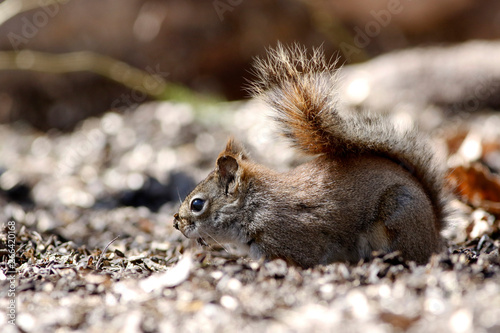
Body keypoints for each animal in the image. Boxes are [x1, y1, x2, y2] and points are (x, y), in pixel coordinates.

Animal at [173, 43, 450, 268]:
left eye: (197, 204)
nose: (176, 223)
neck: (254, 206)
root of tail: (435, 228)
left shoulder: (294, 240)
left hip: (397, 217)